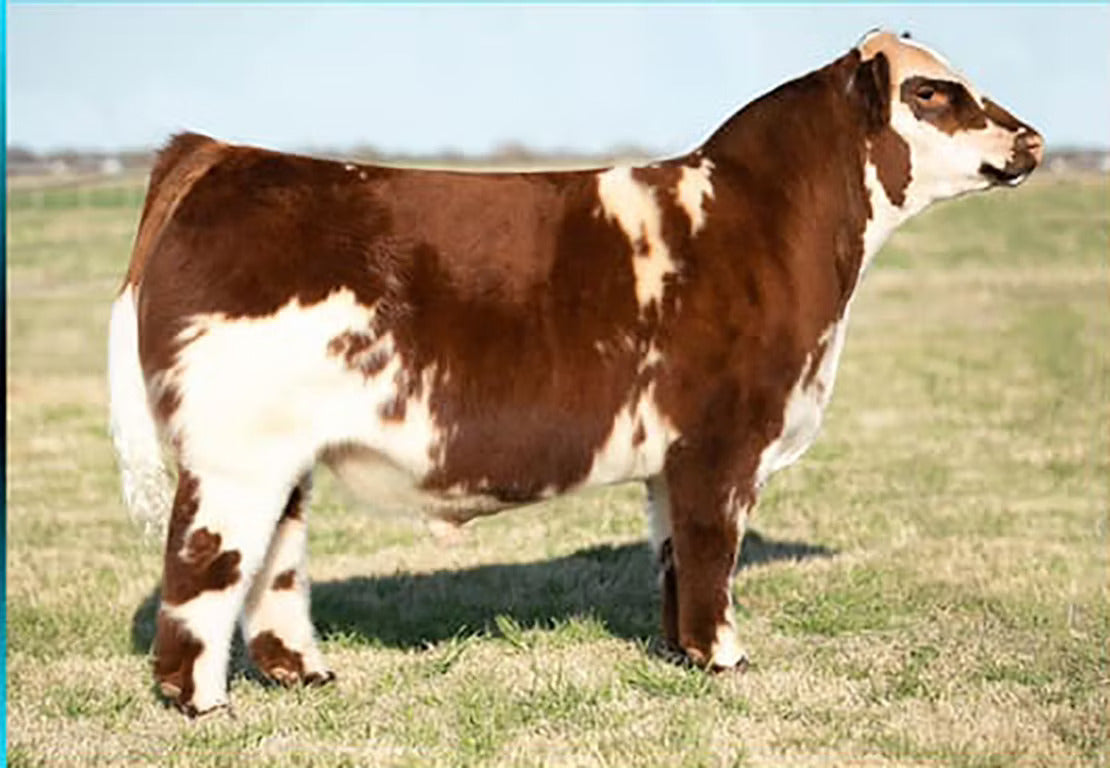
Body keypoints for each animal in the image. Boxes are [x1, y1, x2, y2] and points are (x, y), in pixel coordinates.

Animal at [108, 30, 1042, 716]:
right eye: (933, 93)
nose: (1030, 137)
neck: (763, 222)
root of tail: (221, 154)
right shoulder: (723, 442)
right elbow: (713, 552)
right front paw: (727, 659)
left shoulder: (673, 457)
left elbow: (673, 556)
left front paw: (681, 654)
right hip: (235, 452)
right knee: (201, 566)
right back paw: (202, 704)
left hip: (282, 456)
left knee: (274, 562)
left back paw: (305, 674)